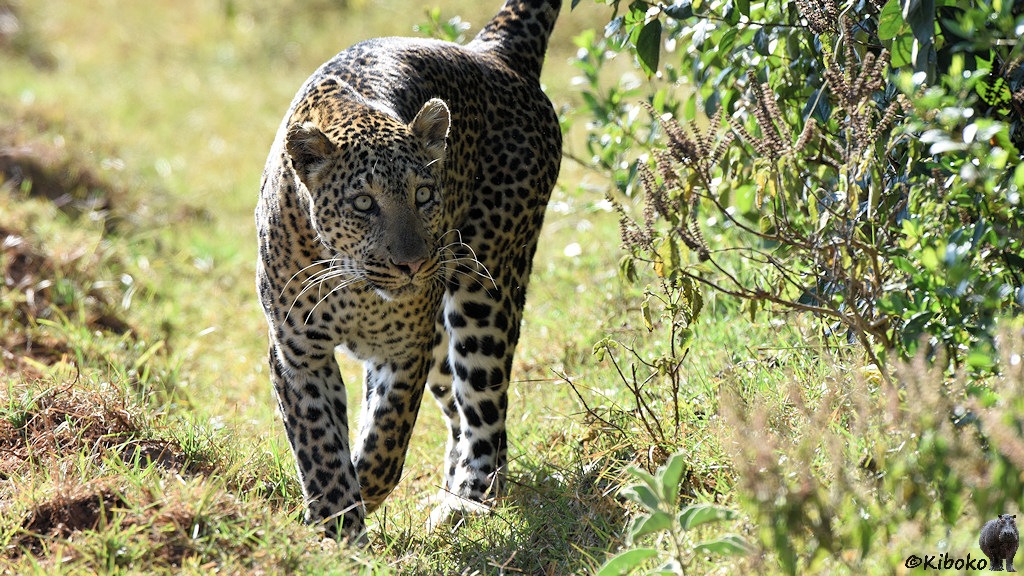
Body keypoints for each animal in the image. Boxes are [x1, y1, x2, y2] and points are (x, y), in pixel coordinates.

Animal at [255, 0, 562, 540]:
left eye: (423, 195)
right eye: (363, 203)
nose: (414, 263)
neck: (352, 282)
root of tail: (495, 51)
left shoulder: (404, 349)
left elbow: (387, 436)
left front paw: (364, 491)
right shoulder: (297, 352)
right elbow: (319, 443)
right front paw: (337, 522)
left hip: (483, 292)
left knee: (485, 408)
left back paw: (464, 504)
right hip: (442, 343)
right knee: (463, 412)